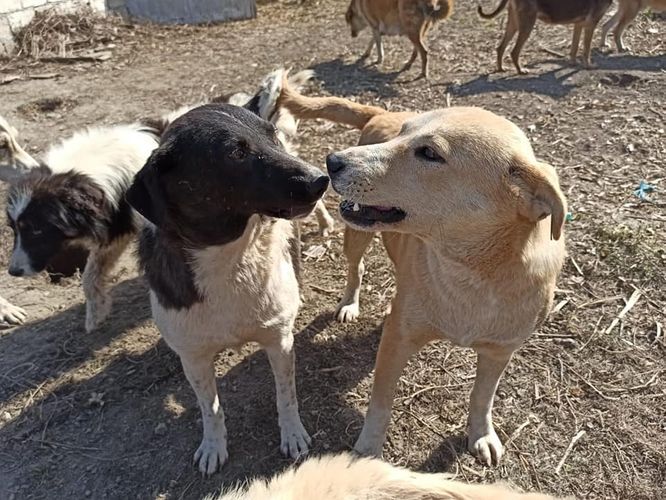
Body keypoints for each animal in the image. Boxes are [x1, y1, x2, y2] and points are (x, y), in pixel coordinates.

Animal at [124, 102, 326, 472]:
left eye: (272, 135)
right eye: (235, 153)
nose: (321, 179)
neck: (230, 259)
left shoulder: (279, 342)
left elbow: (286, 395)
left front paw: (292, 434)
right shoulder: (194, 359)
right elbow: (210, 408)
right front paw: (213, 446)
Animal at [278, 77, 564, 464]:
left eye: (430, 154)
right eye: (404, 134)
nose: (332, 161)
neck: (472, 274)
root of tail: (382, 113)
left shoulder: (499, 352)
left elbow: (482, 397)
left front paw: (481, 434)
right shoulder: (398, 342)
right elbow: (380, 405)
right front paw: (367, 452)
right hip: (356, 238)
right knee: (356, 268)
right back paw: (350, 303)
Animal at [478, 0, 612, 73]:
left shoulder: (579, 24)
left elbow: (574, 48)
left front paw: (573, 63)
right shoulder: (590, 24)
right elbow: (586, 50)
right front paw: (588, 66)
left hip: (514, 23)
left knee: (500, 47)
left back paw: (501, 68)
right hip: (527, 24)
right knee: (514, 51)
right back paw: (520, 70)